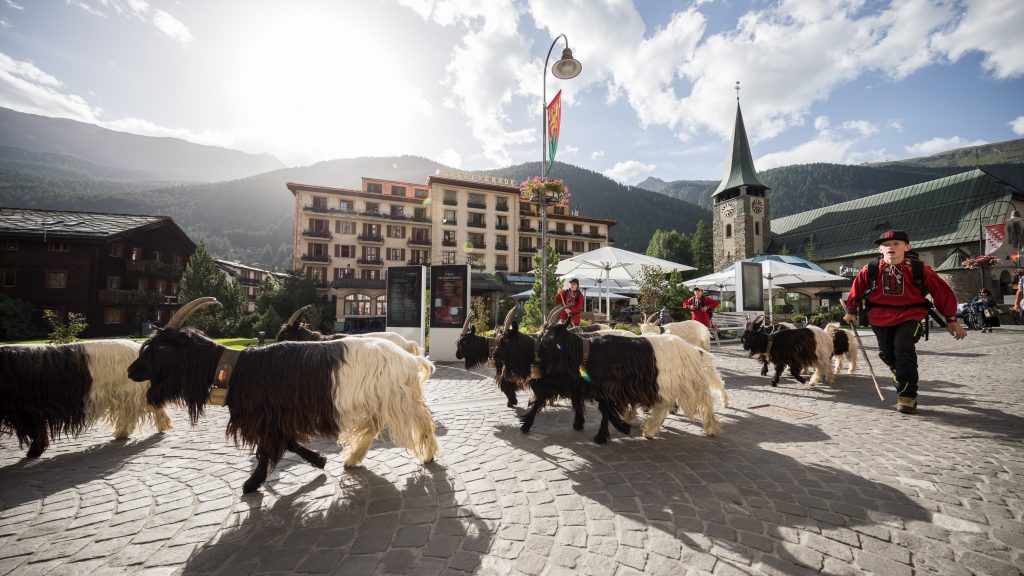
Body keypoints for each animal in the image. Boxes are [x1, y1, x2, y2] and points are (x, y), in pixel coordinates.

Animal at [0, 338, 172, 455]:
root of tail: (137, 348)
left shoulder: (29, 409)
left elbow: (36, 428)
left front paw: (35, 451)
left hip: (131, 390)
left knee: (146, 407)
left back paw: (161, 425)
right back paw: (124, 433)